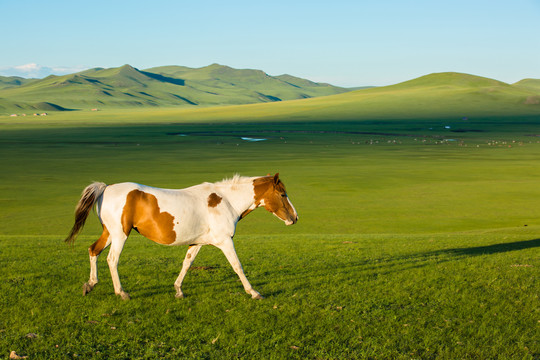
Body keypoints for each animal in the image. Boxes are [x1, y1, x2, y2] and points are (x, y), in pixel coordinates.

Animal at [65, 173, 300, 300]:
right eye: (282, 194)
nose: (295, 218)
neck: (226, 201)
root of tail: (106, 188)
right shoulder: (225, 241)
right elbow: (237, 266)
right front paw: (254, 292)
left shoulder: (197, 243)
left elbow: (186, 264)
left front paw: (178, 290)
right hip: (120, 234)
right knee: (112, 260)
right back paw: (121, 293)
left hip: (110, 233)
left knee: (93, 250)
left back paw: (90, 284)